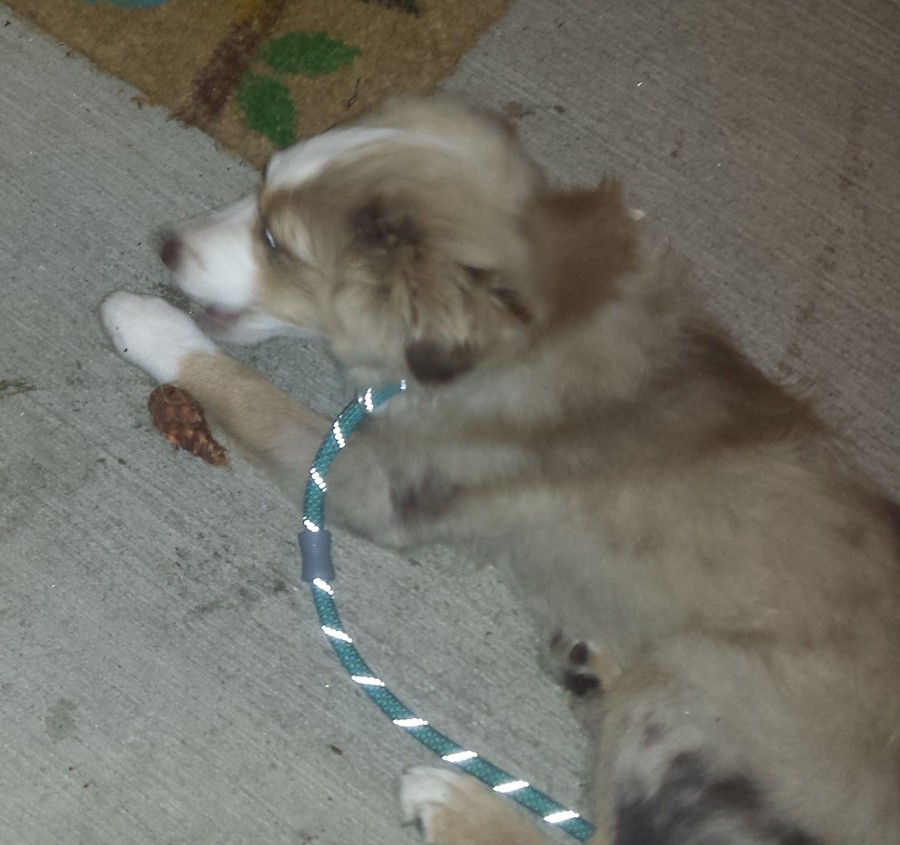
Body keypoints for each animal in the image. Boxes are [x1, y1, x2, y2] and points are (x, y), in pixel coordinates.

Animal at [101, 93, 900, 845]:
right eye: (261, 182)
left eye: (275, 241)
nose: (165, 245)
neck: (537, 310)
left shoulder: (378, 484)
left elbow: (248, 391)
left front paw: (146, 323)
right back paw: (587, 668)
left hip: (692, 684)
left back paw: (451, 800)